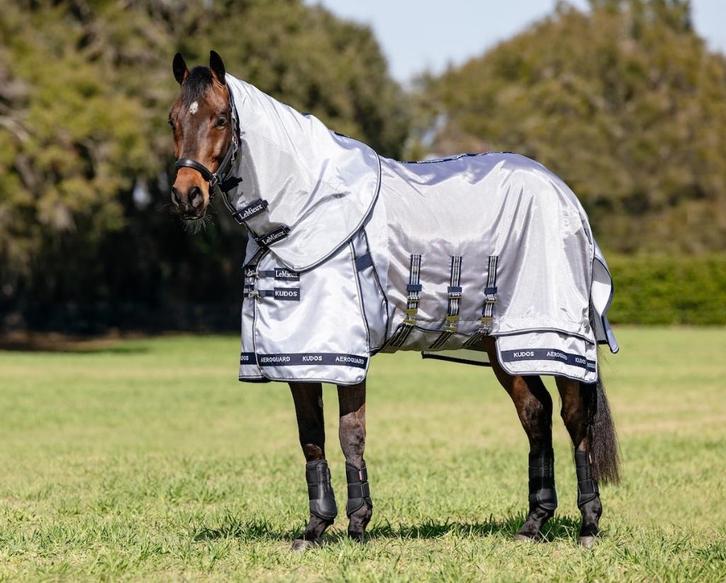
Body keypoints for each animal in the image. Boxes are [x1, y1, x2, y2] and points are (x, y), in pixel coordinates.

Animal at [168, 51, 620, 550]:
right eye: (173, 119)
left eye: (221, 118)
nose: (187, 195)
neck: (304, 211)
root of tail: (566, 195)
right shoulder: (299, 357)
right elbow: (311, 438)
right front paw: (315, 528)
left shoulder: (343, 355)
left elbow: (350, 433)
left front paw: (357, 524)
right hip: (502, 346)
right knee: (536, 415)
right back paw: (533, 523)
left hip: (553, 338)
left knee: (575, 419)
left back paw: (588, 525)